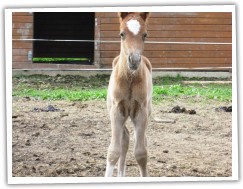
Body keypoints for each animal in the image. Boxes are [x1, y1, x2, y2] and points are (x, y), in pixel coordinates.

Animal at [105, 12, 152, 176]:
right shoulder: (116, 110)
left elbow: (141, 153)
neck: (130, 78)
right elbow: (113, 151)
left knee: (139, 139)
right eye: (122, 34)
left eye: (145, 35)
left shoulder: (141, 111)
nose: (134, 60)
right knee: (124, 139)